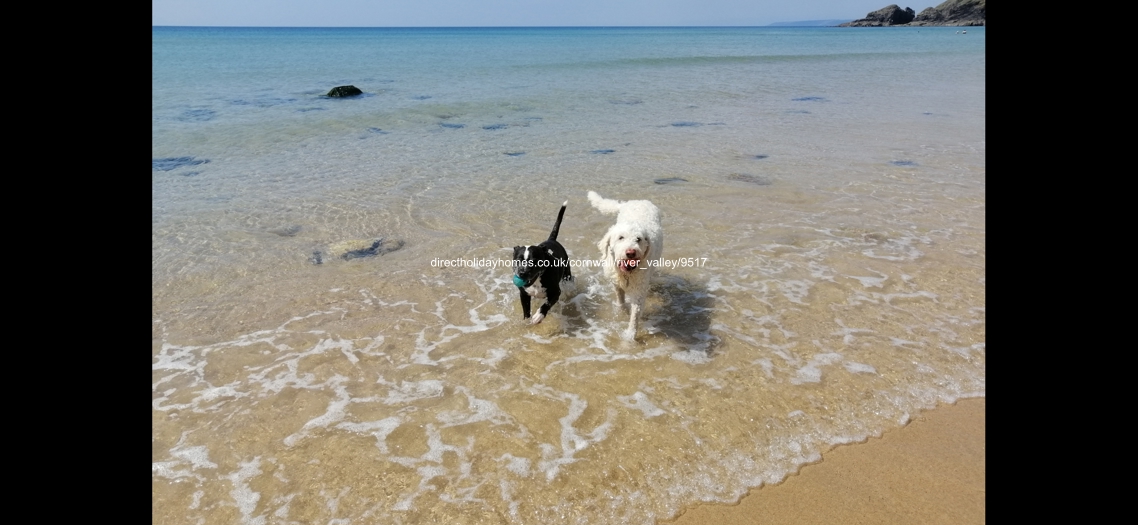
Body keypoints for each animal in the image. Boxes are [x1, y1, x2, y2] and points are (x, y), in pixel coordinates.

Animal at [591, 190, 664, 337]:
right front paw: (621, 311)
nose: (631, 252)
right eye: (621, 238)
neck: (627, 274)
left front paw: (630, 336)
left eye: (638, 239)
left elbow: (635, 316)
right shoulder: (616, 284)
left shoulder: (639, 292)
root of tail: (637, 201)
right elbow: (620, 300)